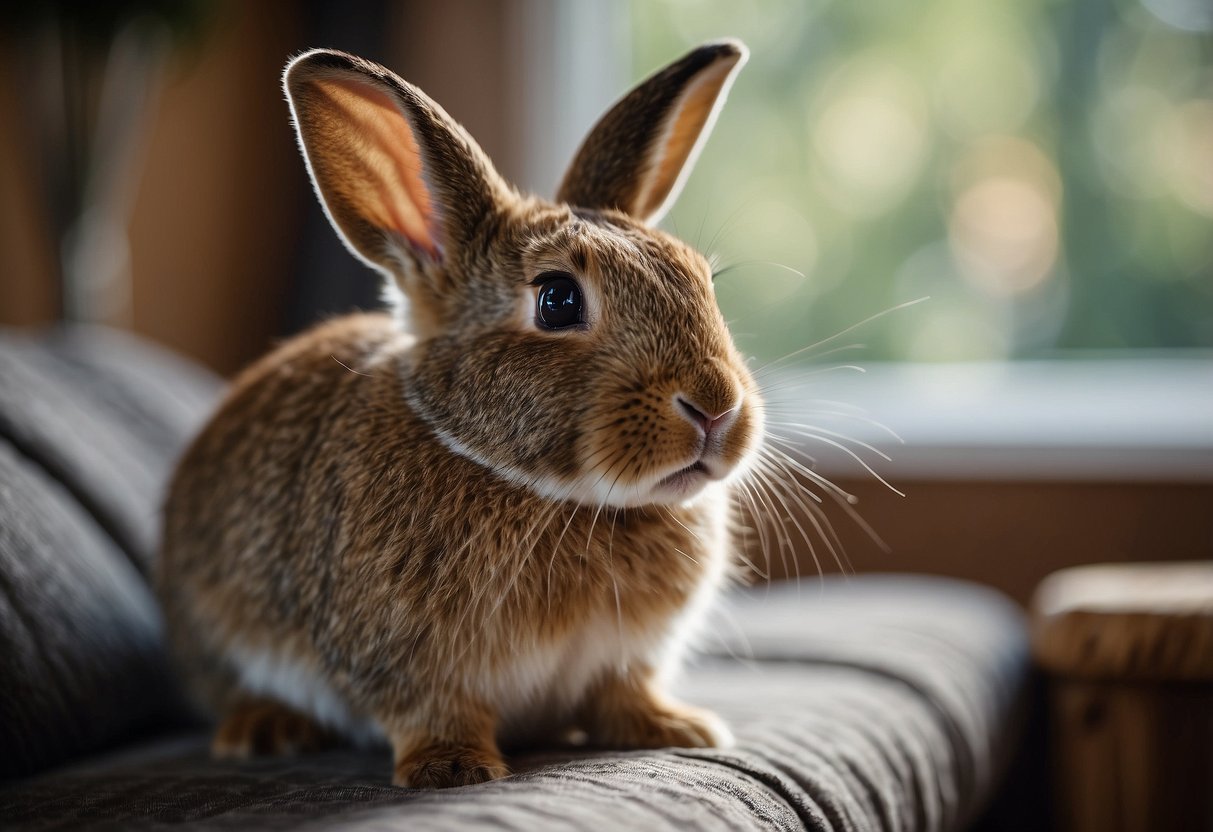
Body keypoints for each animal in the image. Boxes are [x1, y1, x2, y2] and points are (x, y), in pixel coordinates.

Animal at [151, 40, 756, 795]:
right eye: (557, 300)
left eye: (701, 280)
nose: (715, 406)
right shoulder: (402, 659)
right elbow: (432, 711)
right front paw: (453, 769)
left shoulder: (626, 659)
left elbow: (624, 694)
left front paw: (676, 729)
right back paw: (265, 729)